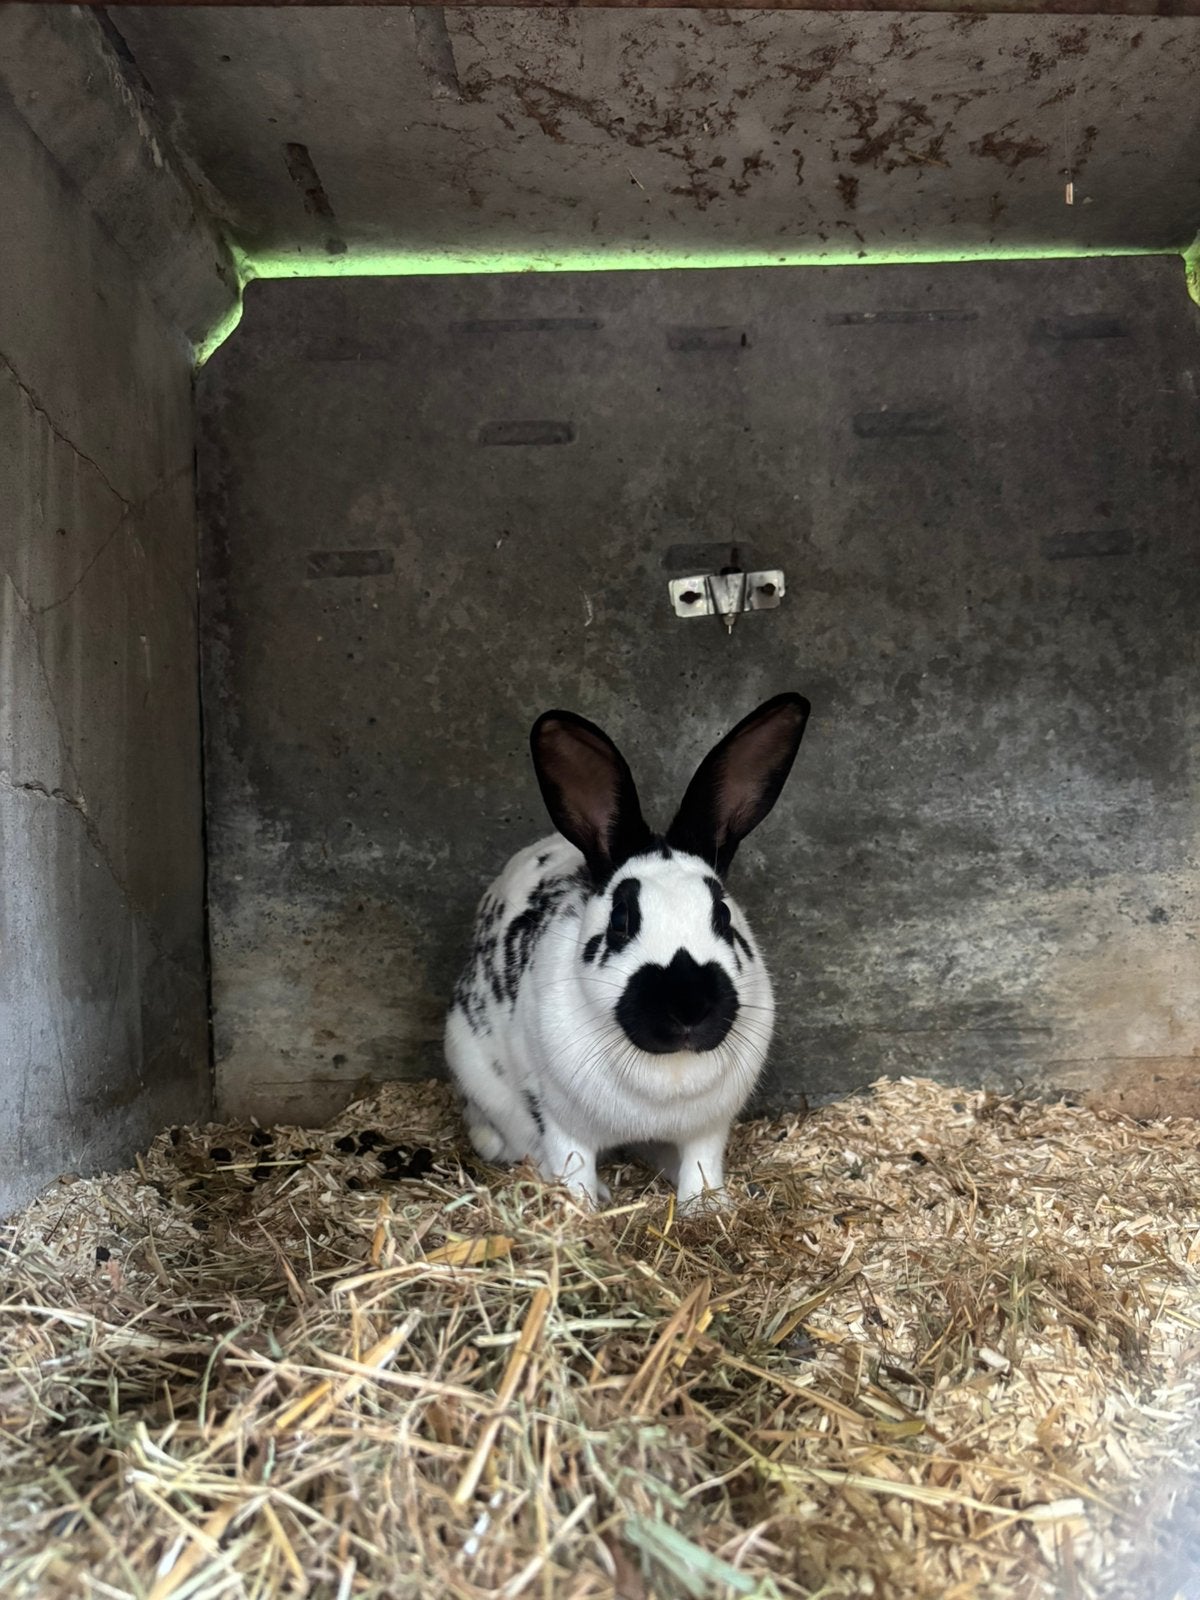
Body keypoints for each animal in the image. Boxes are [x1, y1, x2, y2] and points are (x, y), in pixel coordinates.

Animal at [444, 692, 810, 1210]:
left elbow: (702, 1167)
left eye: (722, 914)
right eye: (620, 921)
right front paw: (582, 1208)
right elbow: (571, 1164)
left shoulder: (708, 1128)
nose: (687, 1006)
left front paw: (707, 1208)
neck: (667, 1074)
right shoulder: (562, 1123)